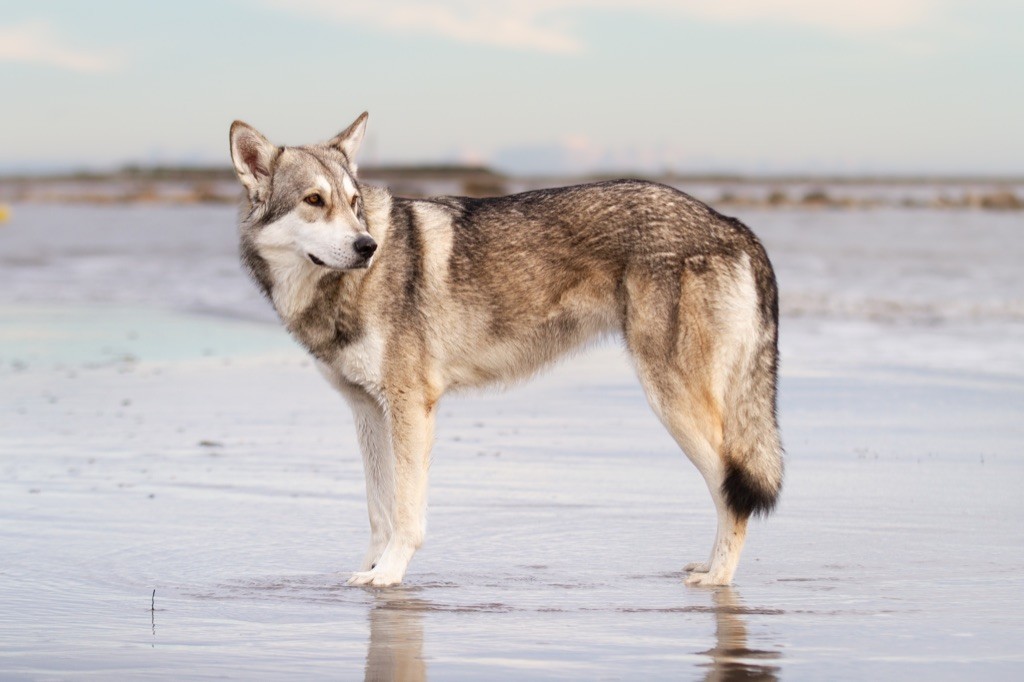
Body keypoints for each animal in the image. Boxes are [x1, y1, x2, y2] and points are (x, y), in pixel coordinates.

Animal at [228, 111, 778, 585]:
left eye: (354, 203)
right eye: (314, 201)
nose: (367, 246)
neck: (341, 290)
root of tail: (731, 223)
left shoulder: (410, 407)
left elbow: (405, 513)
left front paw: (388, 575)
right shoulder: (367, 410)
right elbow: (379, 511)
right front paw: (367, 570)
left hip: (674, 405)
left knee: (733, 495)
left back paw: (717, 578)